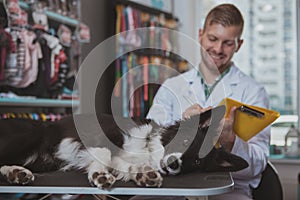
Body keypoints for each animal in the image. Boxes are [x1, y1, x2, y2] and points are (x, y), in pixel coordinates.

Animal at [0, 105, 248, 188]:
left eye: (196, 162)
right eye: (185, 141)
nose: (173, 164)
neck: (147, 148)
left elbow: (125, 166)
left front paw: (143, 175)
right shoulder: (101, 137)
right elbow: (104, 154)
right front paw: (99, 175)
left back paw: (16, 173)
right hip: (29, 135)